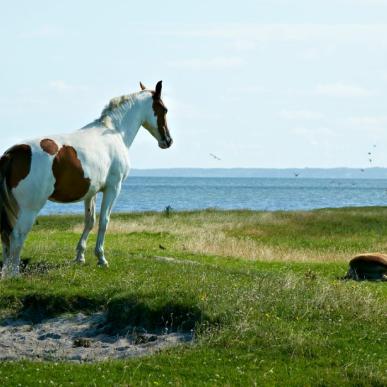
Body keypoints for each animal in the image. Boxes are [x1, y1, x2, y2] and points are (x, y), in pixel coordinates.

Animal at [0, 80, 173, 278]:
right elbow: (105, 221)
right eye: (164, 109)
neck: (114, 132)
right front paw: (101, 258)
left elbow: (90, 221)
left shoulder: (92, 192)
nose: (168, 140)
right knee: (17, 235)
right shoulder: (113, 188)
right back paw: (13, 273)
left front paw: (80, 256)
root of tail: (14, 152)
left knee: (5, 236)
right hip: (29, 208)